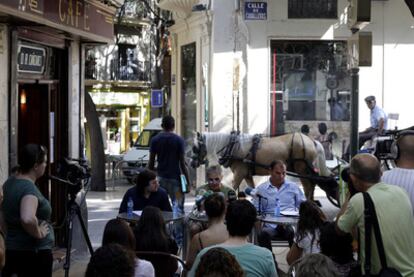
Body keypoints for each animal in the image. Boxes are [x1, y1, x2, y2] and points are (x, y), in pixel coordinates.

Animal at [192, 131, 336, 201]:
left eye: (194, 148)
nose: (192, 163)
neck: (233, 146)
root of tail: (311, 140)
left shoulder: (239, 173)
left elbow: (232, 188)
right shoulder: (247, 175)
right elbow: (252, 189)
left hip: (302, 170)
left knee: (308, 189)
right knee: (312, 186)